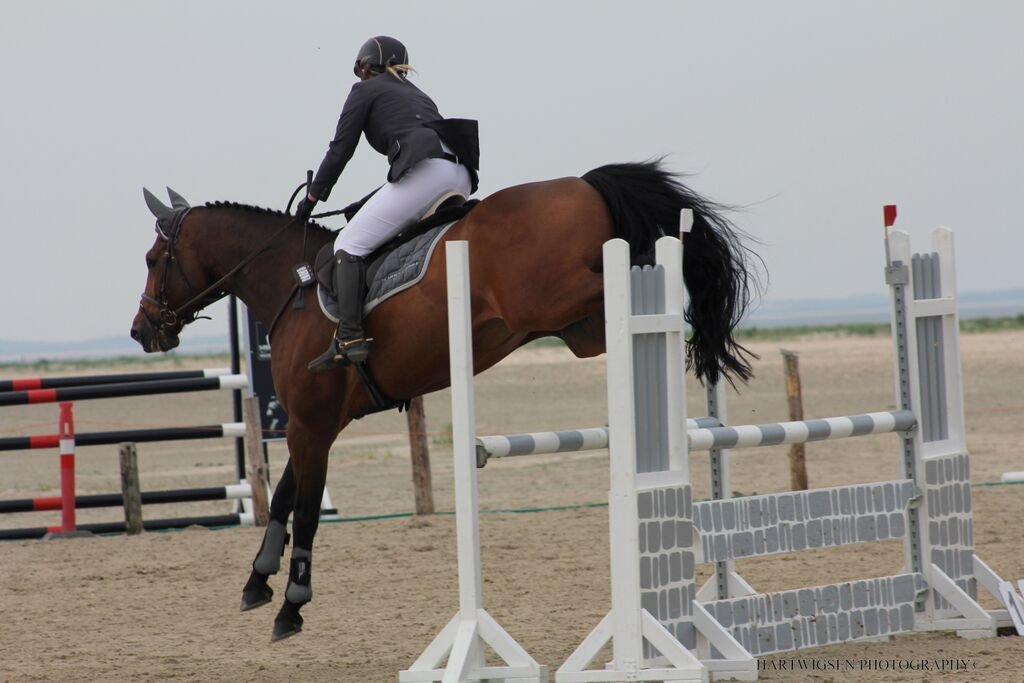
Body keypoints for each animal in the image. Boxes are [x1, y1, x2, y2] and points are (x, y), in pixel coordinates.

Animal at [128, 158, 757, 643]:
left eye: (154, 260)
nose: (142, 332)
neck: (293, 284)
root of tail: (582, 183)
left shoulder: (310, 423)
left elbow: (304, 508)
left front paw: (292, 604)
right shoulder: (320, 425)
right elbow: (284, 497)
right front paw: (257, 580)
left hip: (560, 297)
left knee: (638, 276)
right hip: (579, 331)